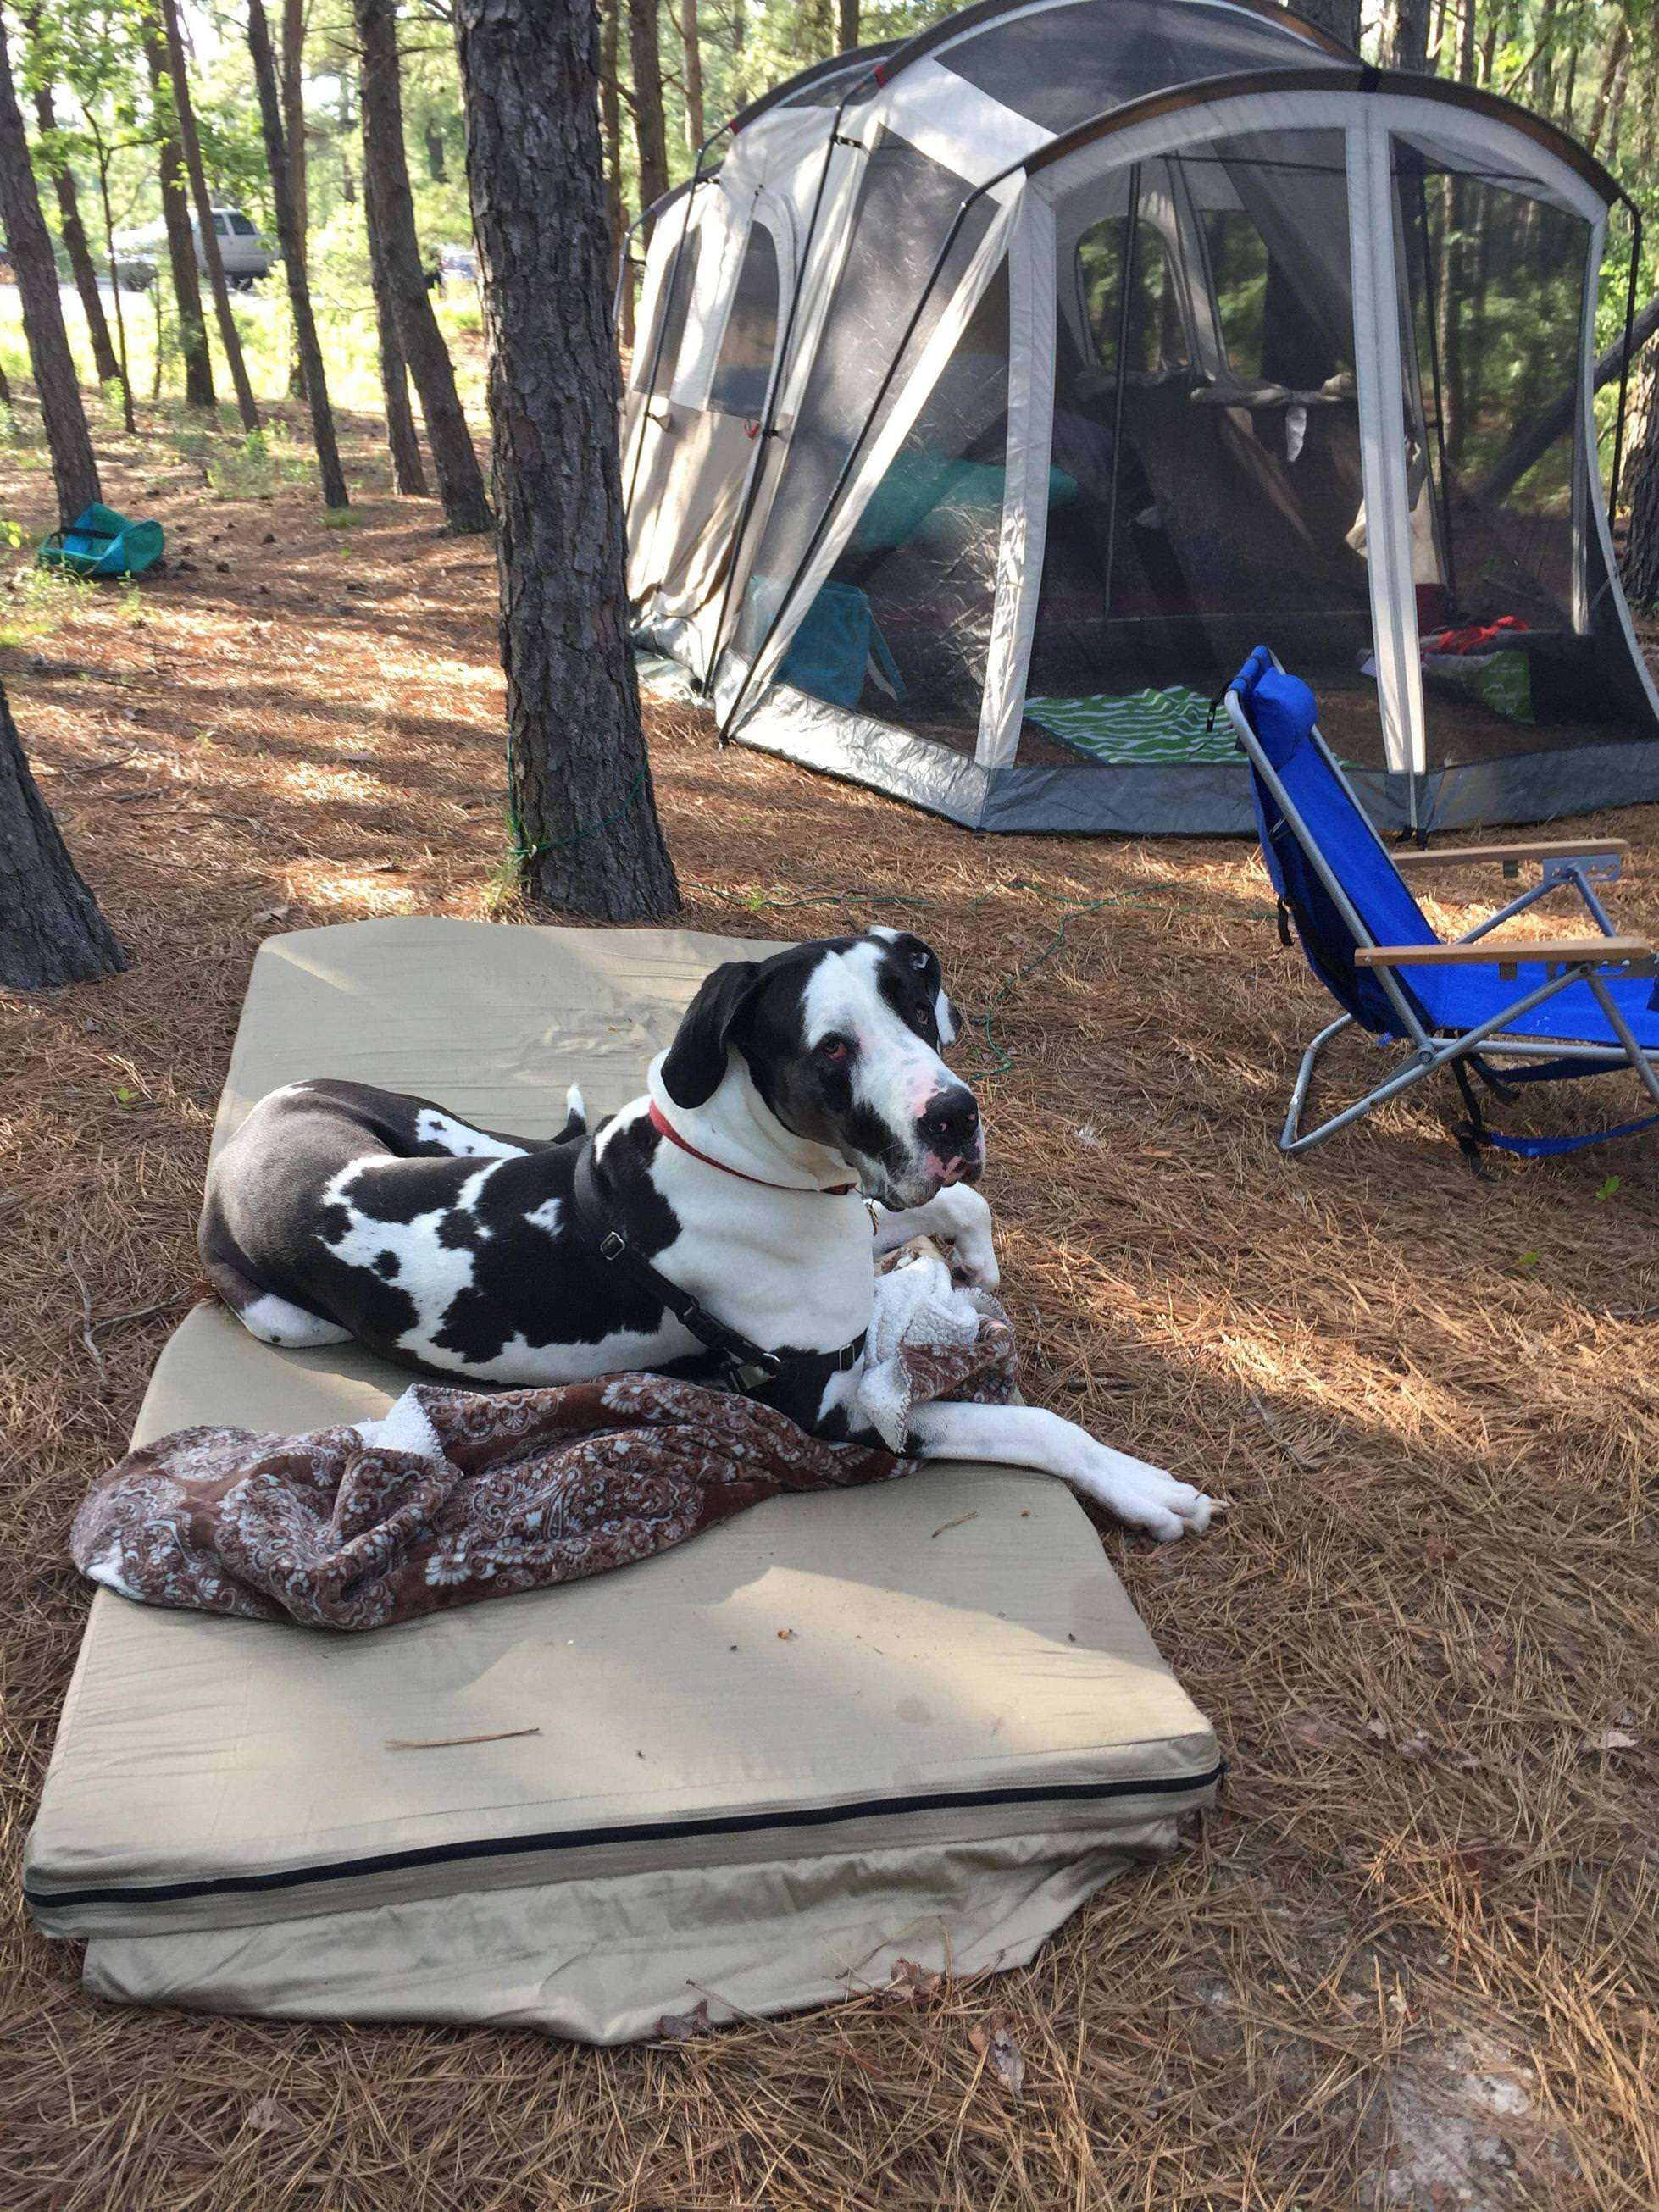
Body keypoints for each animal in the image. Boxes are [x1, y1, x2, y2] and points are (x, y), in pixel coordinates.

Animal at [201, 929, 1212, 1539]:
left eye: (917, 1009)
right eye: (832, 1046)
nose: (955, 1117)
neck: (756, 1165)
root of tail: (247, 1134)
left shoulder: (862, 1221)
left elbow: (952, 1209)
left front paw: (977, 1257)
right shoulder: (833, 1409)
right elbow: (1029, 1423)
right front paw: (1139, 1486)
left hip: (448, 1128)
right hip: (290, 1319)